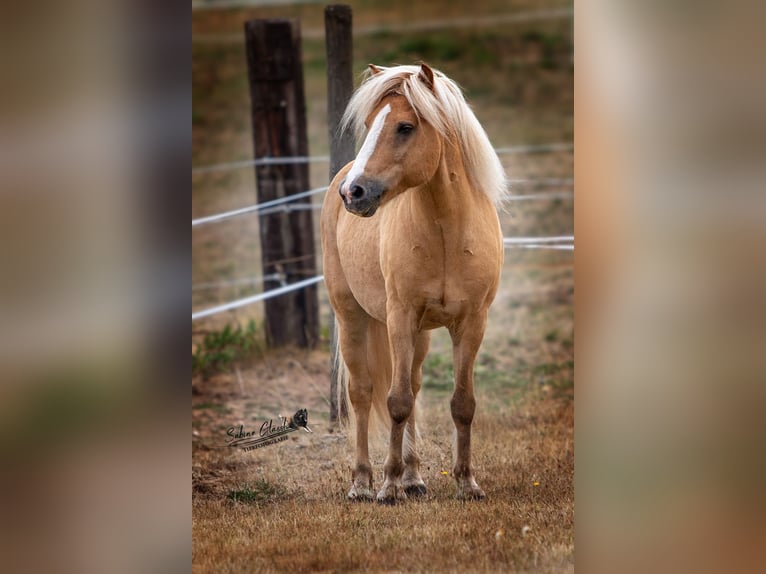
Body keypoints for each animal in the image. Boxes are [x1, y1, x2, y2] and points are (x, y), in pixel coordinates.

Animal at [321, 63, 507, 503]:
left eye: (405, 127)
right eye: (369, 123)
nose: (354, 193)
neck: (446, 232)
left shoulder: (472, 323)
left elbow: (462, 403)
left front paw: (466, 482)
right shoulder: (400, 318)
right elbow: (397, 401)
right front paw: (388, 487)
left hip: (420, 334)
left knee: (416, 386)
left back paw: (414, 477)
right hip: (352, 317)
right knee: (362, 393)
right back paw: (363, 482)